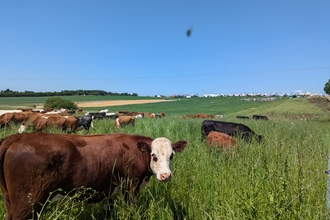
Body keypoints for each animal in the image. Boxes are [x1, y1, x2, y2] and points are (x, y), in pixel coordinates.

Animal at [0, 132, 187, 220]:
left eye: (171, 155)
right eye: (154, 156)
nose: (165, 176)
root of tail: (17, 138)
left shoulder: (108, 192)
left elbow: (107, 212)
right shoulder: (131, 188)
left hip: (11, 202)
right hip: (28, 204)